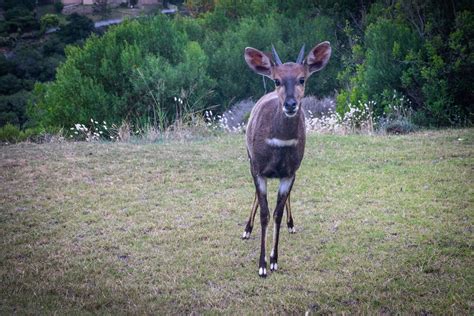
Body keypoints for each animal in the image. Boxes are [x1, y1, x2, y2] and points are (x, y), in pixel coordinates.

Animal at [243, 41, 332, 276]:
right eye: (277, 80)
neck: (279, 143)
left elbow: (278, 213)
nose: (291, 104)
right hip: (249, 159)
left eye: (302, 79)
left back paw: (292, 224)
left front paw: (274, 260)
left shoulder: (290, 172)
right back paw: (247, 229)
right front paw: (262, 266)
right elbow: (265, 213)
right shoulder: (258, 168)